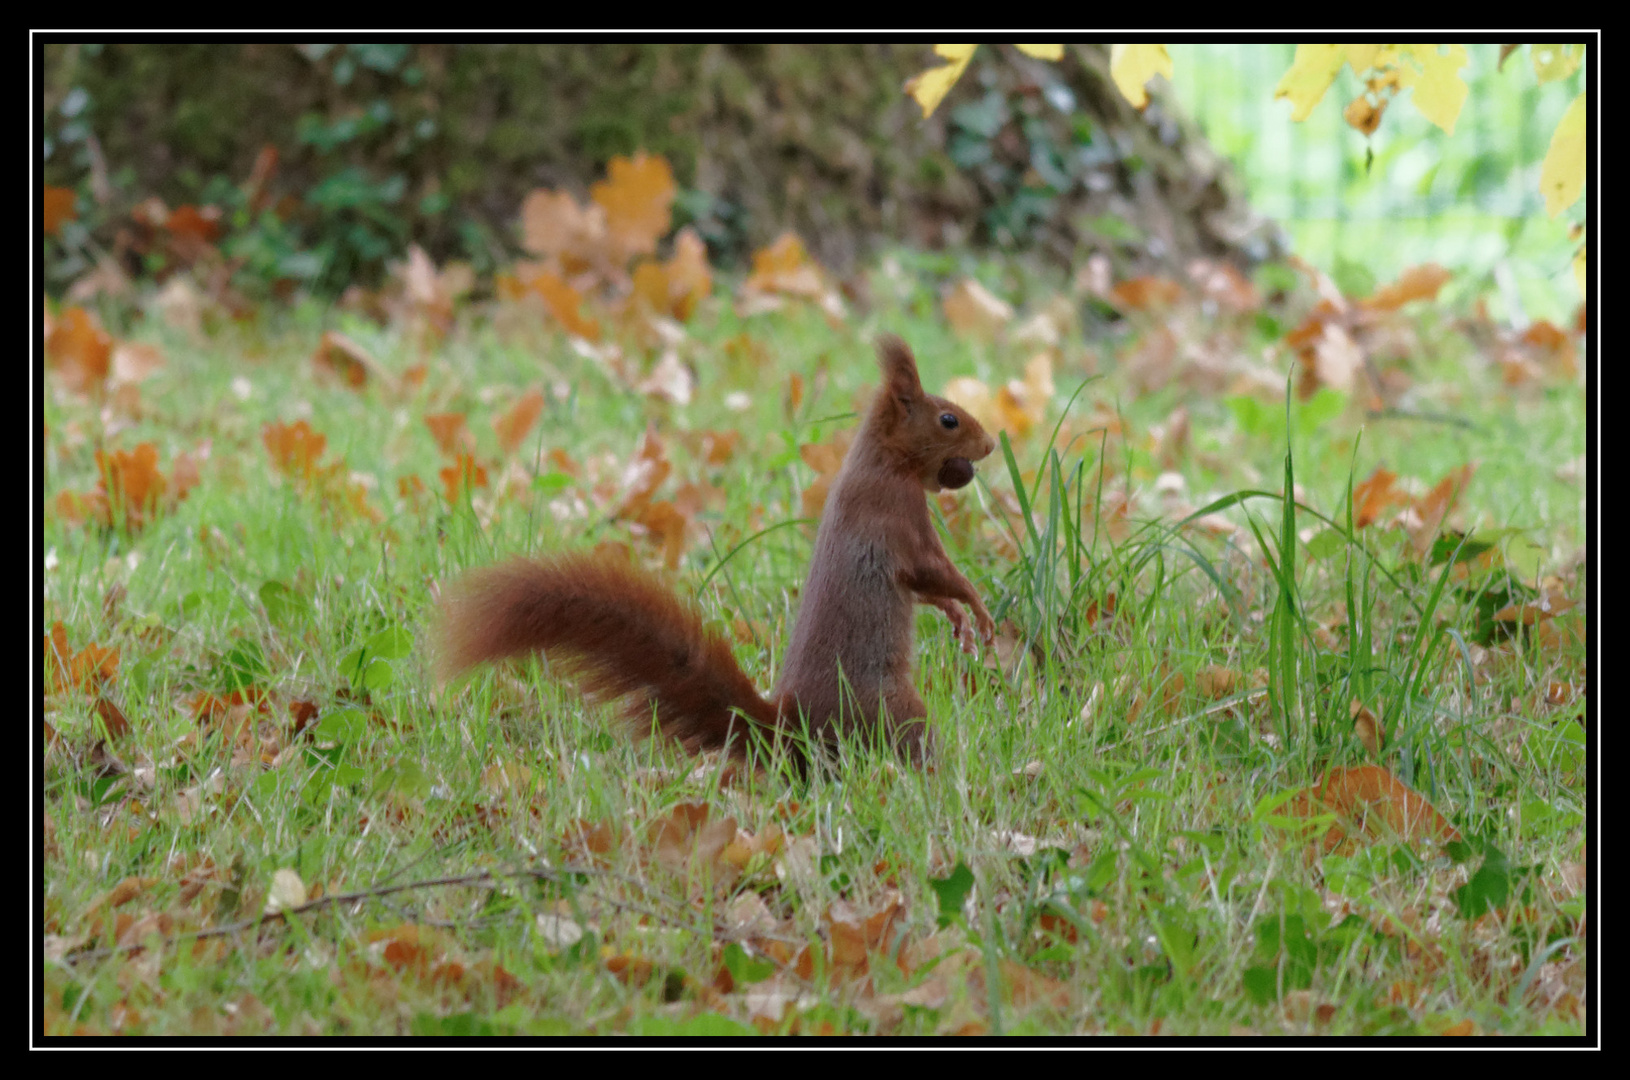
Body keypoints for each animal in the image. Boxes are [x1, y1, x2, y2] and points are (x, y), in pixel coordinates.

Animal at [433, 338, 991, 768]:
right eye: (948, 419)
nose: (988, 445)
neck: (881, 461)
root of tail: (791, 728)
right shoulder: (896, 515)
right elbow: (931, 570)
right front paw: (977, 609)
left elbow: (929, 588)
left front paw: (958, 617)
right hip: (896, 711)